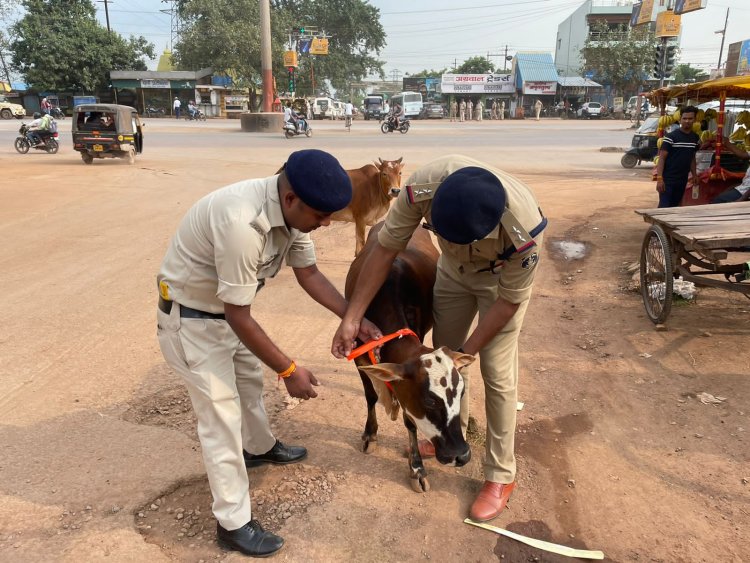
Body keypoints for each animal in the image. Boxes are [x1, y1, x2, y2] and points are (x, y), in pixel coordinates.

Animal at [346, 220, 472, 494]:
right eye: (430, 401)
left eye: (461, 394)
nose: (461, 455)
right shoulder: (359, 359)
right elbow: (371, 396)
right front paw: (370, 433)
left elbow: (409, 421)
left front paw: (416, 468)